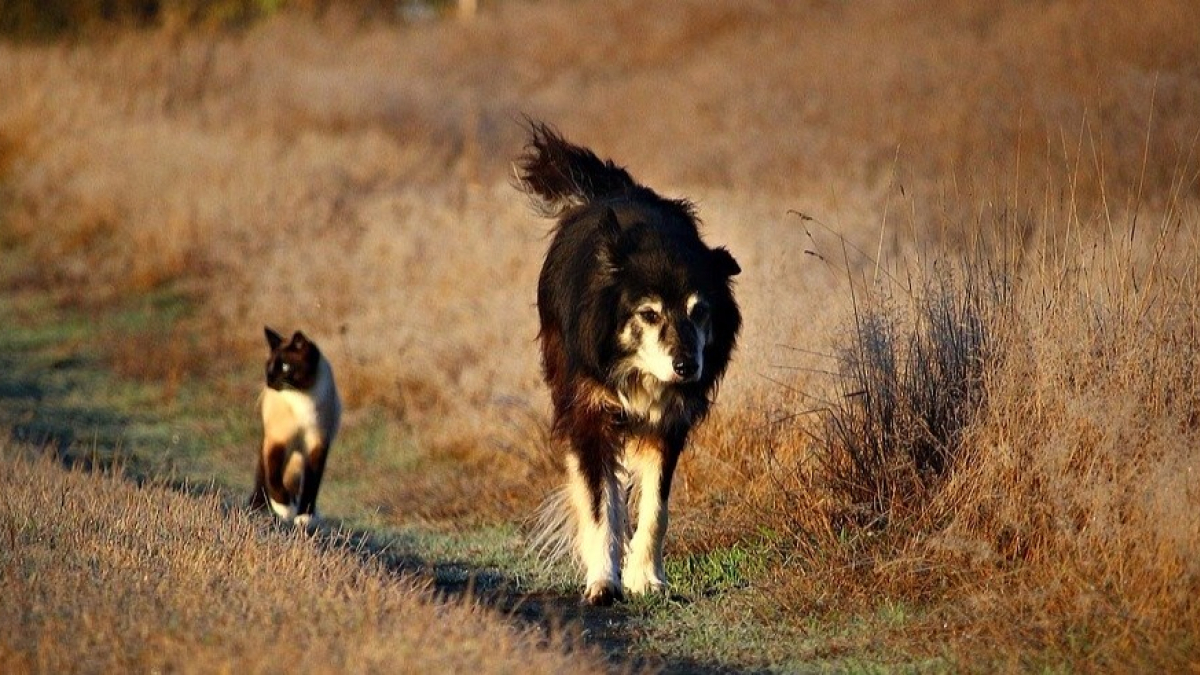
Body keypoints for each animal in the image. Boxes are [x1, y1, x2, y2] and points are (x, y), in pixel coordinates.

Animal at [249, 326, 340, 526]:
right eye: (268, 366)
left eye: (285, 367)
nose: (269, 381)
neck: (302, 397)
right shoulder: (278, 442)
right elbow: (273, 479)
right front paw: (285, 509)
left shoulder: (317, 445)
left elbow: (311, 484)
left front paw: (304, 516)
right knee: (263, 477)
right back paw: (258, 508)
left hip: (298, 460)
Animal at [518, 121, 739, 605]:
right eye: (649, 314)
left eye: (700, 310)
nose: (686, 367)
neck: (638, 372)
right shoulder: (589, 407)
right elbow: (600, 502)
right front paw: (604, 583)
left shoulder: (667, 422)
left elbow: (656, 504)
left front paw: (647, 580)